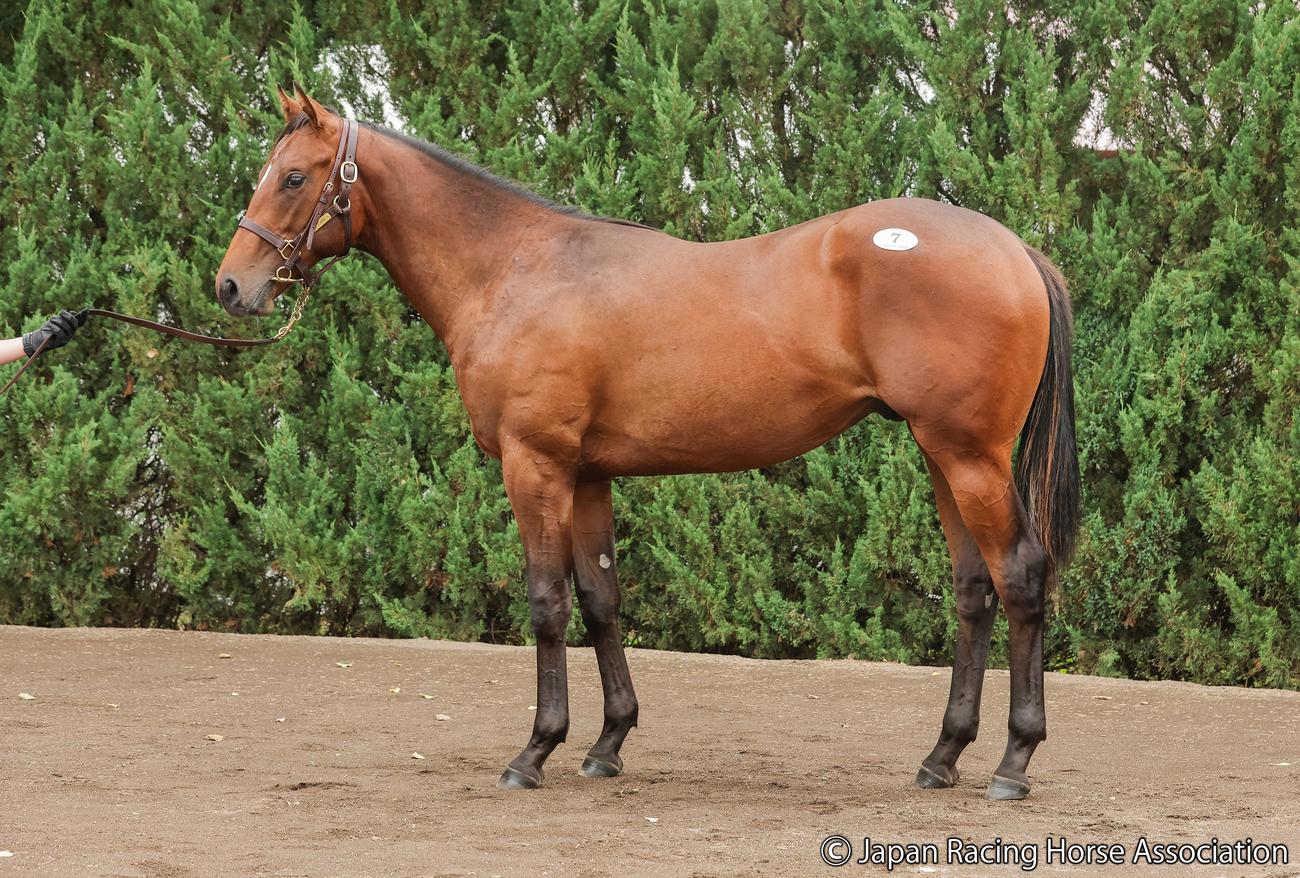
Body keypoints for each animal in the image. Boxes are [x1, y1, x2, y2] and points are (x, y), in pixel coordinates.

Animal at [217, 86, 1080, 801]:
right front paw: (607, 743)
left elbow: (547, 603)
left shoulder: (536, 466)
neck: (515, 270)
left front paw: (535, 750)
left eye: (292, 178)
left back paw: (1012, 762)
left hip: (969, 457)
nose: (231, 286)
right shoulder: (588, 474)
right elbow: (602, 600)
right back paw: (942, 757)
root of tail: (1014, 249)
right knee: (973, 589)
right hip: (942, 457)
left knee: (1020, 577)